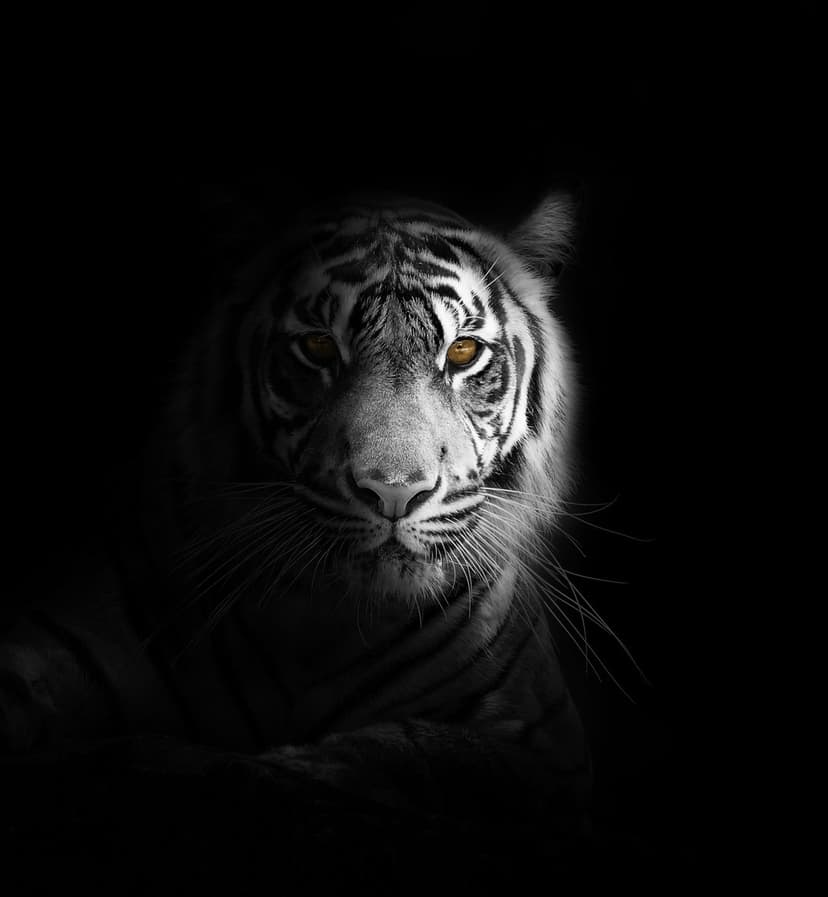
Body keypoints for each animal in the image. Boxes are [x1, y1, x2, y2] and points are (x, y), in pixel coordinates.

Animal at [0, 192, 592, 833]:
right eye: (317, 348)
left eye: (462, 352)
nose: (394, 493)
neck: (322, 621)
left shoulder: (542, 743)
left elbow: (411, 751)